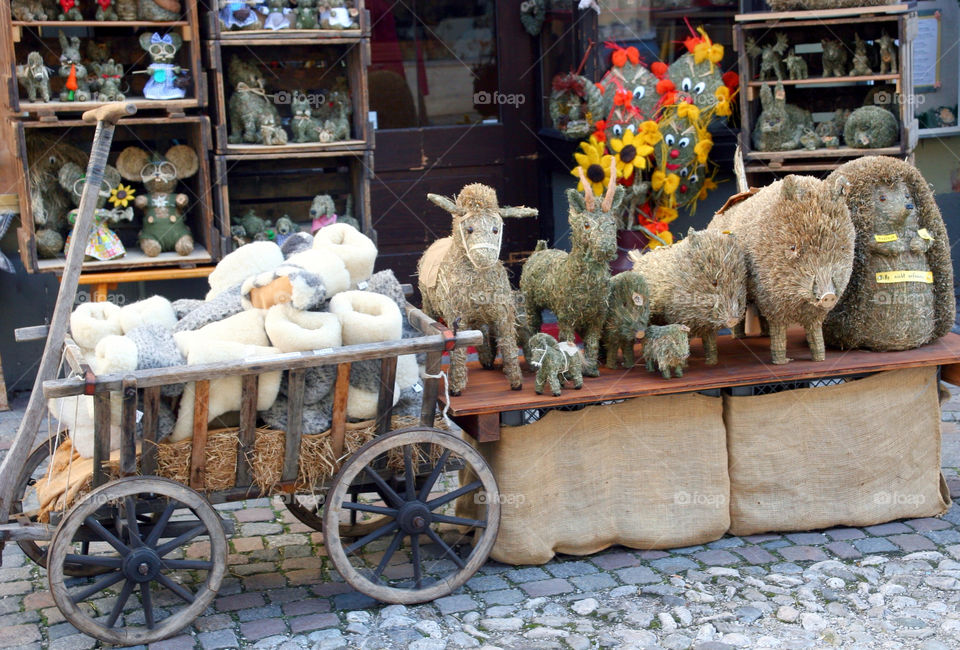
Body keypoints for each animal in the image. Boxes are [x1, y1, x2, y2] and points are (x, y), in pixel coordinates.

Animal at [420, 185, 540, 392]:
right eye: (469, 229)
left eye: (495, 229)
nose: (485, 258)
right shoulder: (457, 318)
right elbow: (459, 351)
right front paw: (456, 386)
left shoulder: (503, 314)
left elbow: (508, 346)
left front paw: (516, 382)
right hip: (429, 305)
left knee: (482, 331)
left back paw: (486, 360)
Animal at [516, 158, 624, 374]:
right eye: (586, 225)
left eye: (612, 223)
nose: (606, 248)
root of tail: (540, 250)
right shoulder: (566, 316)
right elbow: (568, 342)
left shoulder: (597, 317)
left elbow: (592, 343)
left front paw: (592, 370)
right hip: (530, 302)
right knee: (533, 327)